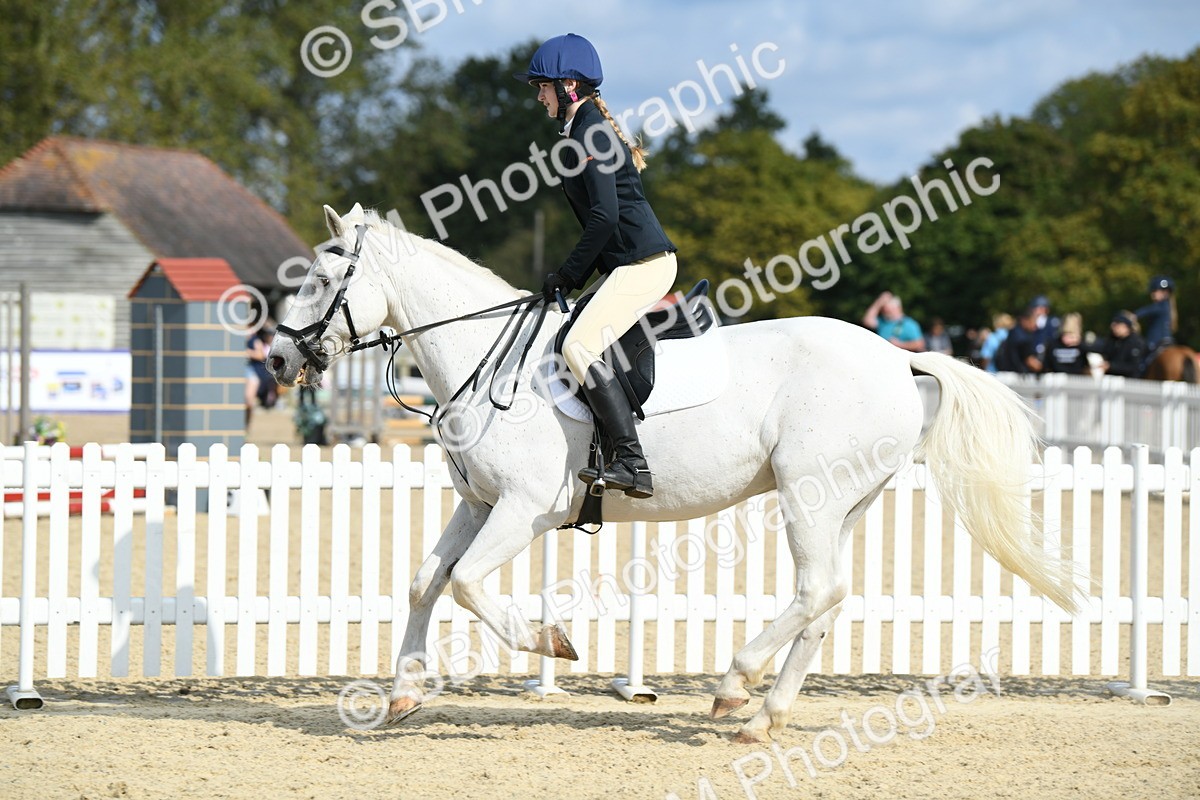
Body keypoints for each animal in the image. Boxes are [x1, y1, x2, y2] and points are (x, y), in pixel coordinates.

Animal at [268, 203, 1082, 743]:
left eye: (321, 278)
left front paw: (552, 643)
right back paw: (763, 716)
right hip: (840, 502)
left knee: (816, 591)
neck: (484, 358)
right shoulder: (478, 504)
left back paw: (734, 686)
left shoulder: (525, 509)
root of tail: (896, 357)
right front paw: (403, 694)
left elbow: (466, 583)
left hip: (808, 496)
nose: (276, 359)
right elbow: (425, 582)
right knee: (827, 601)